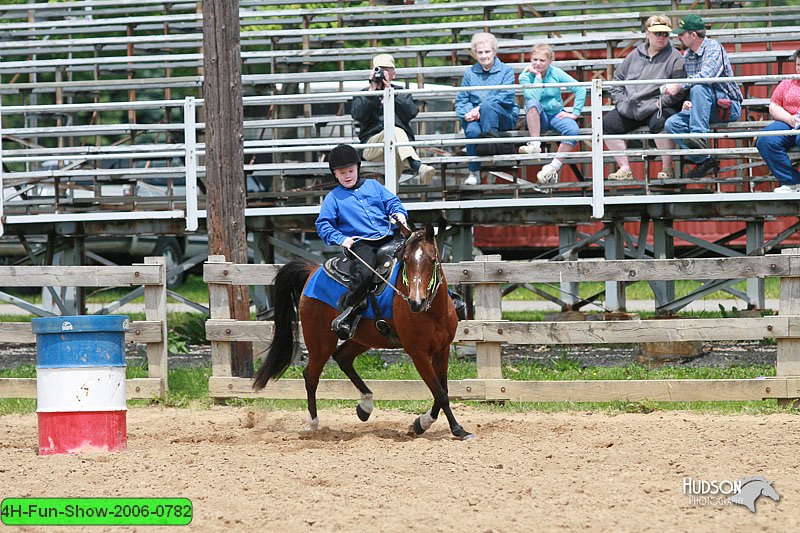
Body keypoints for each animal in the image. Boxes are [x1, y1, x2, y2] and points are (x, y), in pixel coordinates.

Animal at [253, 222, 472, 438]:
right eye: (406, 260)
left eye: (433, 259)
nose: (416, 301)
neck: (433, 313)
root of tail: (313, 270)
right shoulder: (418, 353)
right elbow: (440, 393)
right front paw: (454, 429)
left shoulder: (442, 350)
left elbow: (442, 391)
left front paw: (425, 424)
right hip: (320, 342)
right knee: (311, 375)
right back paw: (313, 423)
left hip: (364, 339)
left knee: (342, 358)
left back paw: (365, 406)